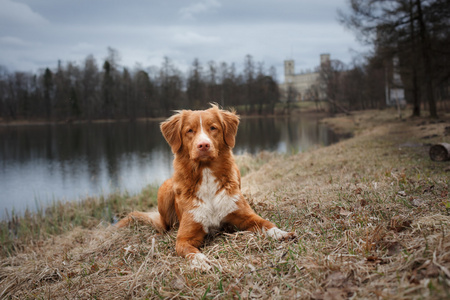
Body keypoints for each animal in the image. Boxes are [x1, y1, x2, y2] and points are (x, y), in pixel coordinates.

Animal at [118, 105, 298, 270]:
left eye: (213, 128)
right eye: (189, 131)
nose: (203, 145)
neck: (206, 175)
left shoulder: (245, 217)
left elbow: (267, 223)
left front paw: (281, 233)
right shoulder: (185, 237)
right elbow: (189, 250)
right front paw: (201, 261)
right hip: (164, 189)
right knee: (163, 225)